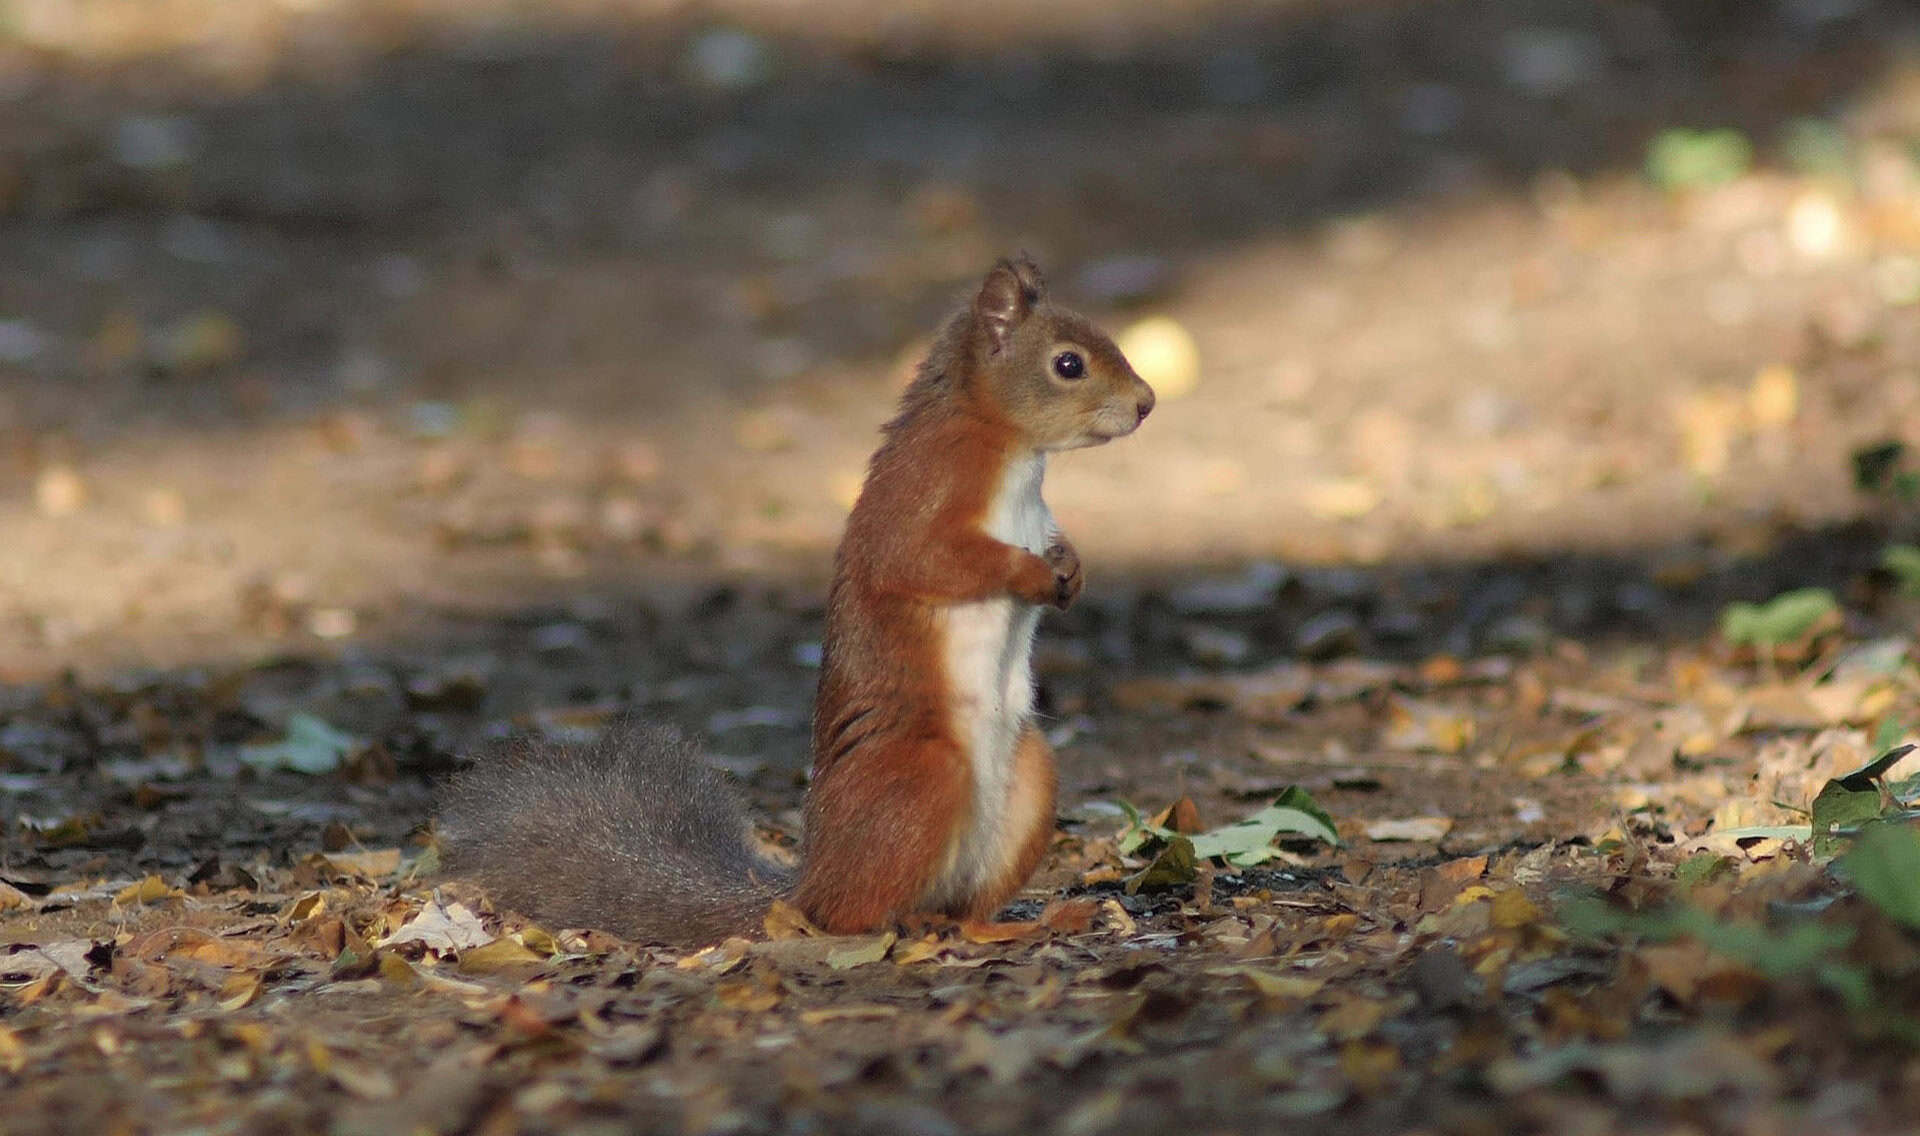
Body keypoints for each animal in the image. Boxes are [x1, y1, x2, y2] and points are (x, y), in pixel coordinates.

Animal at [439, 256, 1156, 947]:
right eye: (1068, 363)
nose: (1147, 403)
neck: (1010, 448)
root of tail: (804, 890)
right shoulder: (922, 497)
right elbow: (925, 561)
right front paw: (1031, 574)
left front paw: (1070, 569)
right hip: (924, 774)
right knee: (855, 914)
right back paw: (906, 924)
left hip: (1029, 778)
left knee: (969, 908)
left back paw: (1027, 923)